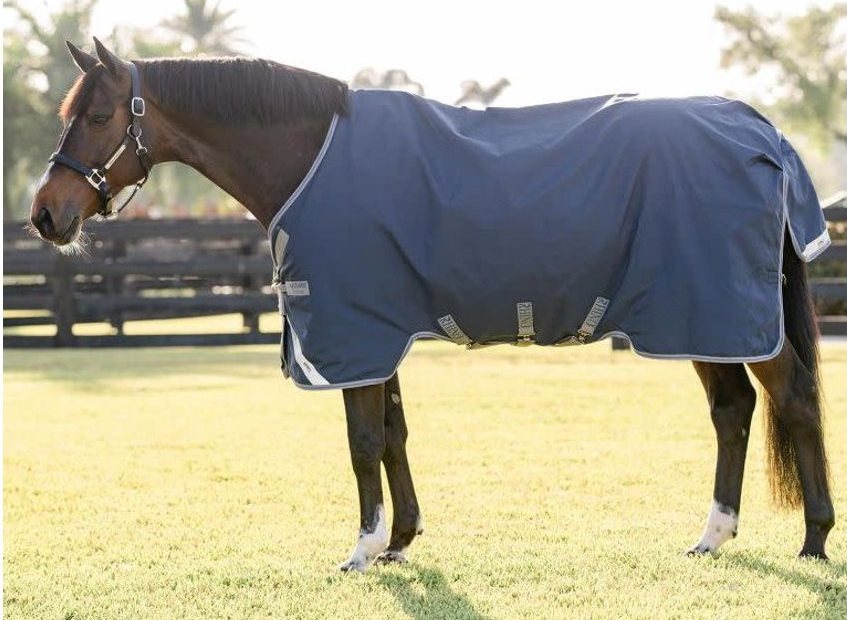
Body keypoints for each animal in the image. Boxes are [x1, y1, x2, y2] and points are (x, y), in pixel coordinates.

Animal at [29, 38, 834, 572]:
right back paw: (713, 536)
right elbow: (394, 433)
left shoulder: (352, 330)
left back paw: (815, 538)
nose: (44, 215)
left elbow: (361, 441)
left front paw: (361, 550)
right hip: (698, 317)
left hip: (726, 314)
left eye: (97, 116)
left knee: (791, 397)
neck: (311, 155)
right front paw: (400, 541)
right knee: (733, 410)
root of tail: (760, 129)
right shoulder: (379, 331)